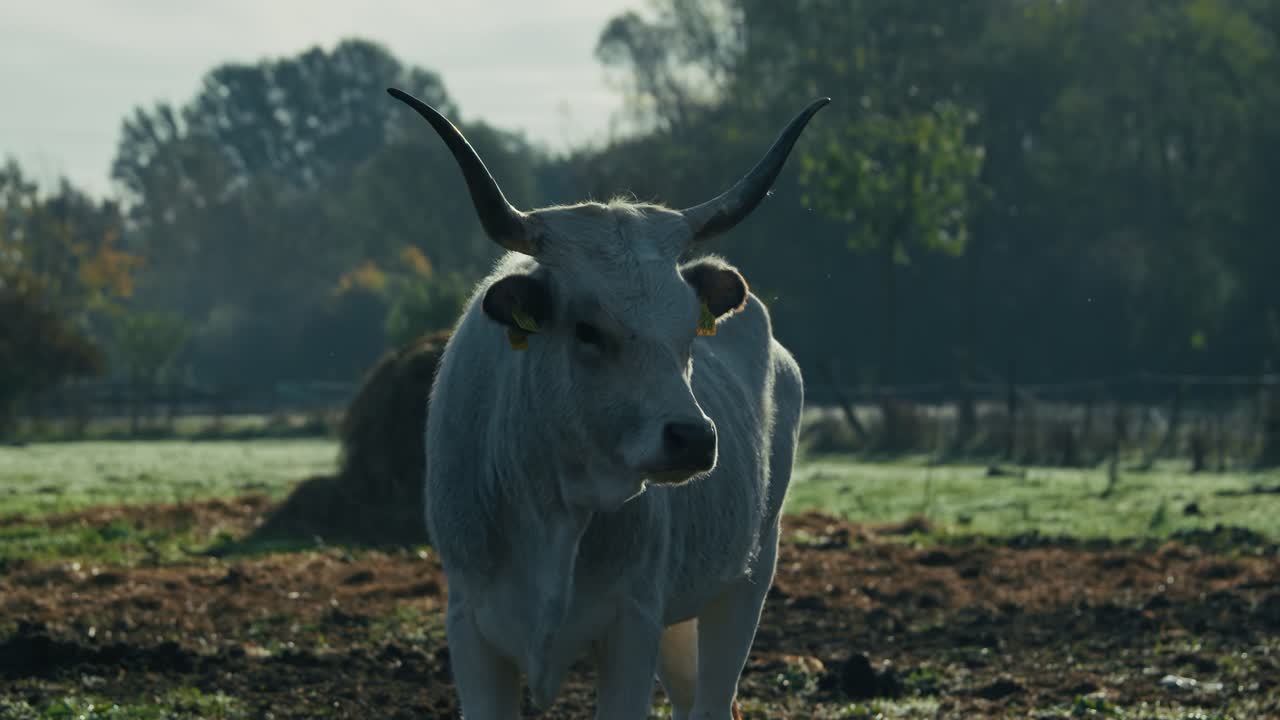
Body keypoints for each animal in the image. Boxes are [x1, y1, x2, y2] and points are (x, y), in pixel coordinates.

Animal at [388, 87, 827, 719]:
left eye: (687, 331)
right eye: (588, 330)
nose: (693, 439)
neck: (550, 505)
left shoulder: (630, 625)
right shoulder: (471, 627)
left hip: (745, 578)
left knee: (713, 698)